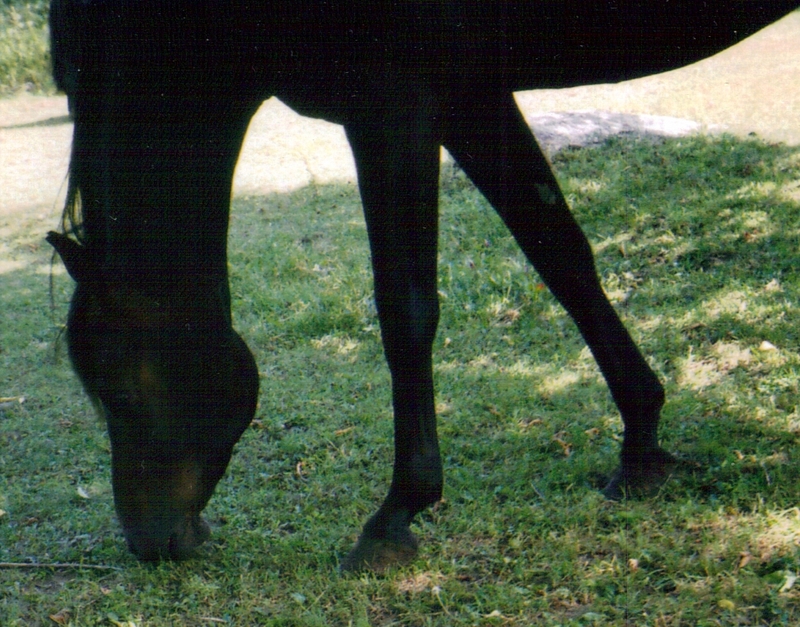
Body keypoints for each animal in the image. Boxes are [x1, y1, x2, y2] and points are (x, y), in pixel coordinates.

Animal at [48, 0, 800, 572]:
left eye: (119, 390)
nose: (150, 542)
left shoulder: (392, 103)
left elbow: (404, 309)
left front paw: (396, 513)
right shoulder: (471, 94)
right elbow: (561, 254)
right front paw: (640, 443)